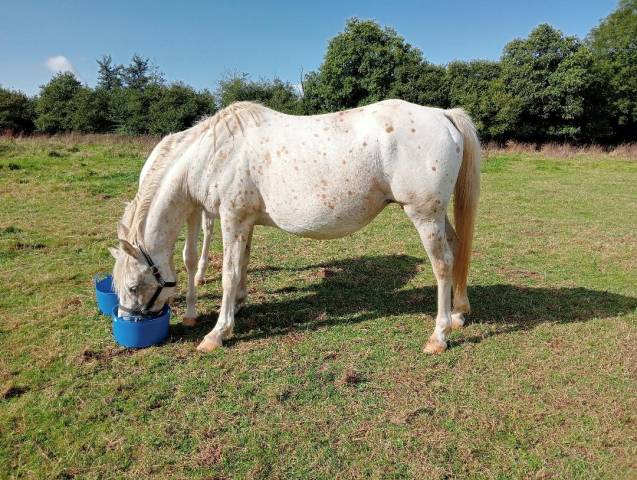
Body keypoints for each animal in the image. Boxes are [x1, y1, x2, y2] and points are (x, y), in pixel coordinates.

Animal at [110, 98, 476, 352]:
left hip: (424, 216)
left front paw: (218, 332)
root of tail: (443, 114)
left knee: (443, 265)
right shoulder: (245, 221)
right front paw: (238, 306)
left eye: (133, 287)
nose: (127, 319)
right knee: (457, 249)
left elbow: (229, 273)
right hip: (437, 215)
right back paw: (459, 314)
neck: (215, 152)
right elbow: (242, 264)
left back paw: (439, 334)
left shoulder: (231, 219)